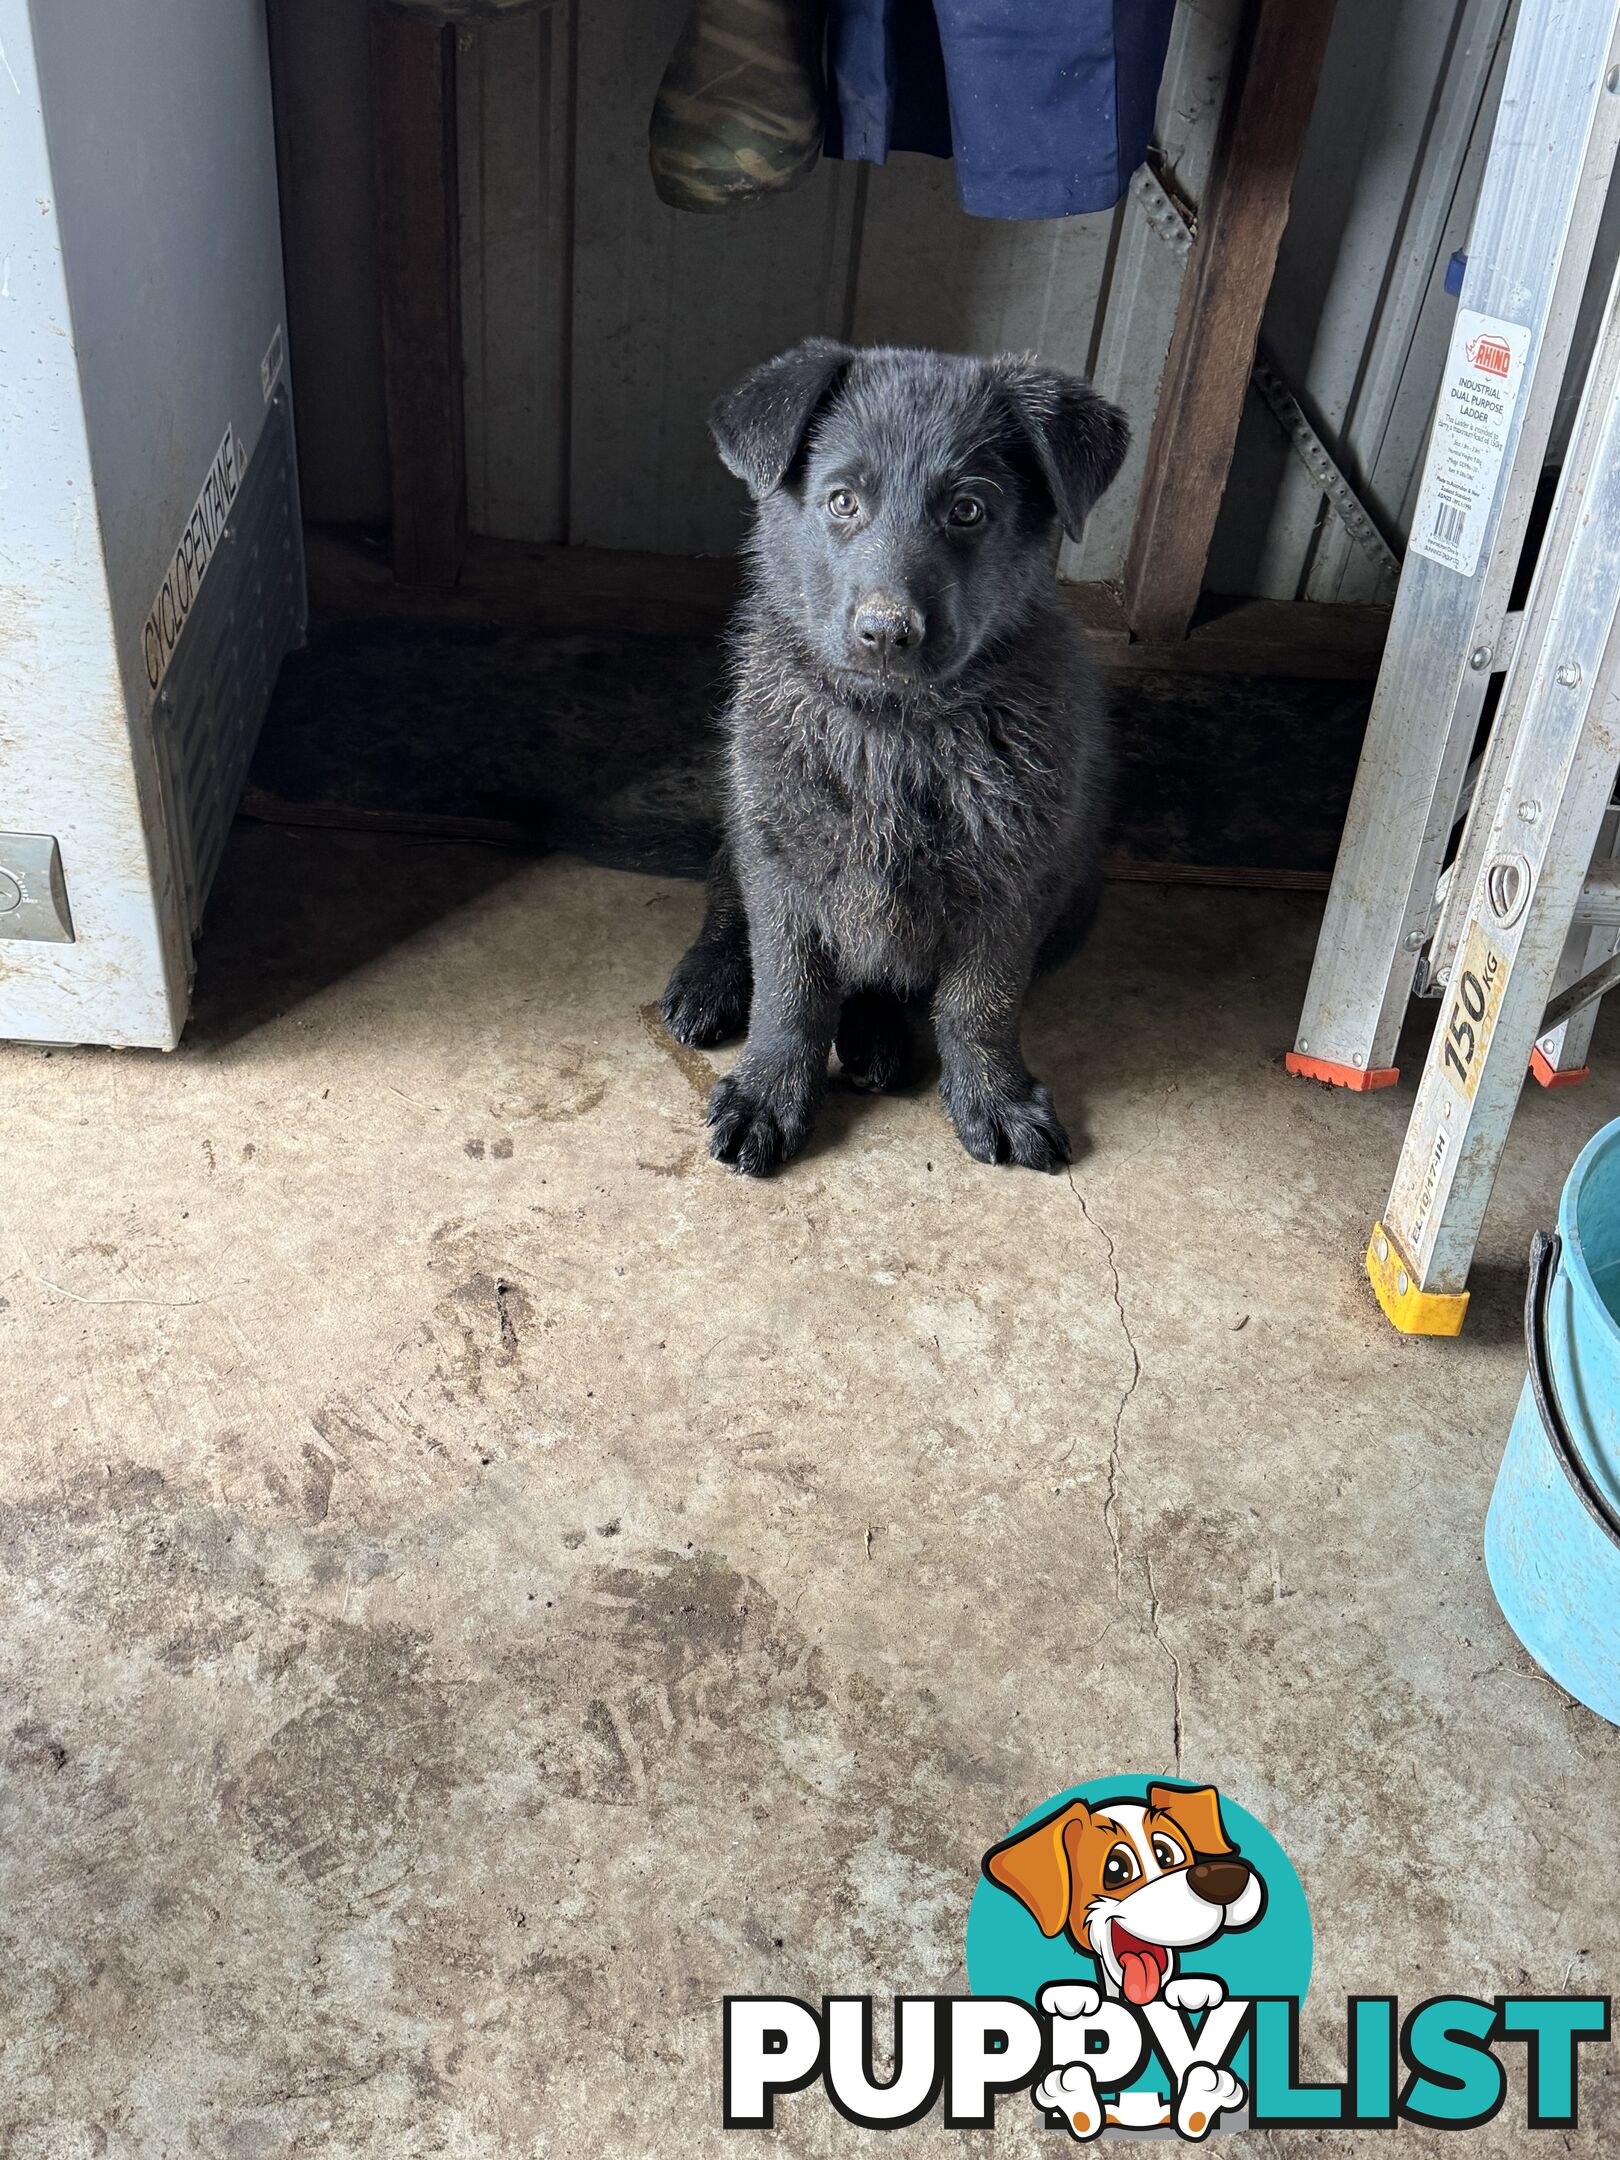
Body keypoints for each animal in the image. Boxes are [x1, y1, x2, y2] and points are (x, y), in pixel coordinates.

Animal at [660, 341, 1131, 1183]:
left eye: (968, 510)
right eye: (842, 501)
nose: (887, 633)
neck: (896, 731)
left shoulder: (1012, 880)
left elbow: (979, 1002)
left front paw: (993, 1094)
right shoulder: (782, 862)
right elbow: (789, 991)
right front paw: (769, 1088)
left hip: (1078, 896)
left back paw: (877, 1035)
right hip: (742, 826)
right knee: (723, 903)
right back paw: (708, 981)